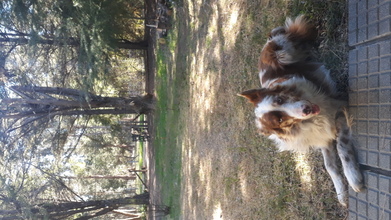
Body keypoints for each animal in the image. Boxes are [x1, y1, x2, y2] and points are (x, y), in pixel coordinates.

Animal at [240, 15, 366, 206]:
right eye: (280, 120)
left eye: (279, 100)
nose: (306, 109)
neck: (310, 121)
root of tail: (269, 40)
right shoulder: (322, 137)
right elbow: (329, 166)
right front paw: (341, 193)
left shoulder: (339, 107)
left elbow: (342, 148)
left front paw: (353, 178)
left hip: (285, 50)